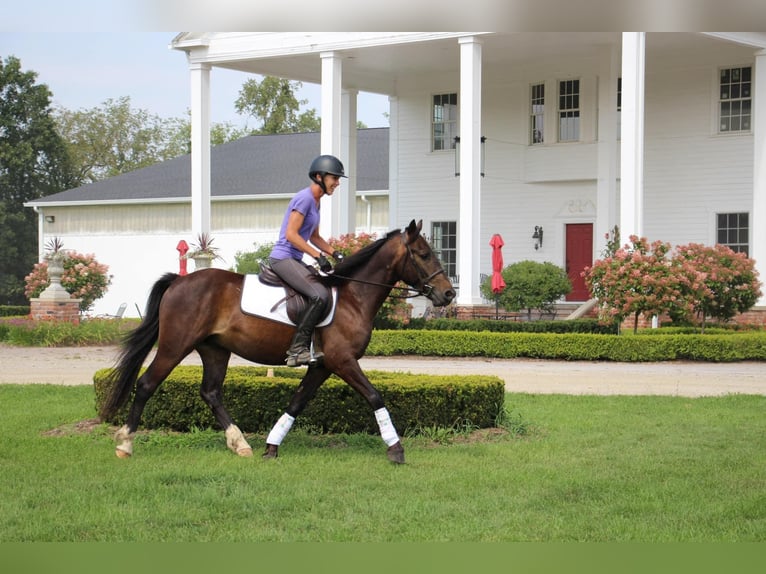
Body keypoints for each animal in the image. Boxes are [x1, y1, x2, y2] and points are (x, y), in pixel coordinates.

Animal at [98, 220, 452, 464]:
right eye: (424, 254)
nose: (448, 294)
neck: (354, 295)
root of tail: (179, 281)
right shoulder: (343, 360)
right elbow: (375, 397)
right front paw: (396, 448)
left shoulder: (323, 365)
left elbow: (297, 402)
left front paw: (271, 446)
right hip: (175, 346)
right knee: (146, 384)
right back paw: (125, 444)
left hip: (215, 349)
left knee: (211, 392)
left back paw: (240, 444)